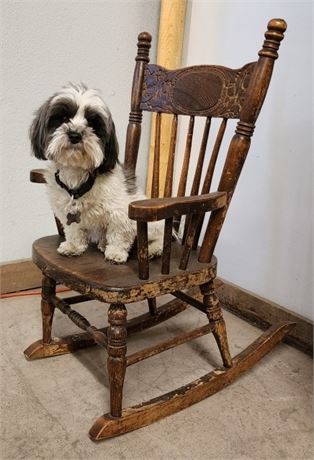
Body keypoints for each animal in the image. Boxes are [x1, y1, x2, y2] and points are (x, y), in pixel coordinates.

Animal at [30, 82, 163, 262]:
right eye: (63, 119)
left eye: (92, 124)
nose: (75, 134)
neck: (78, 177)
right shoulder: (67, 211)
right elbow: (74, 230)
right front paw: (73, 246)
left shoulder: (121, 212)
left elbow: (119, 234)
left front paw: (116, 252)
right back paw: (103, 243)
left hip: (152, 224)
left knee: (158, 237)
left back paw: (152, 249)